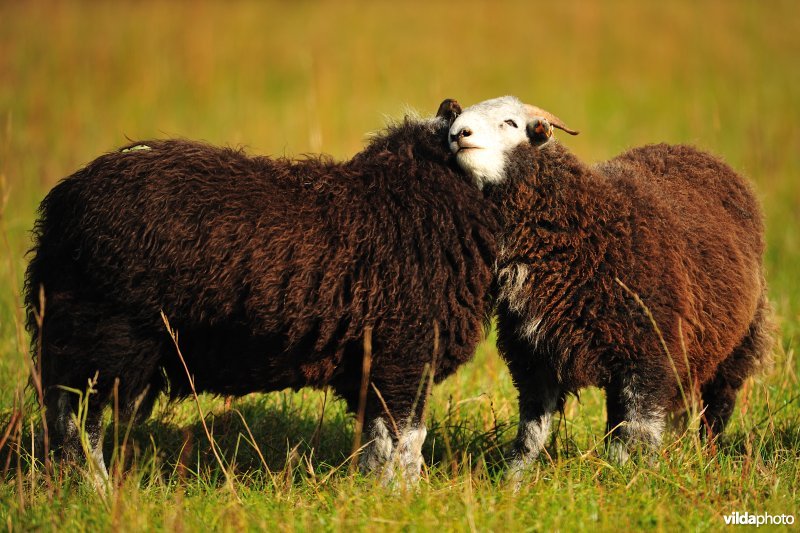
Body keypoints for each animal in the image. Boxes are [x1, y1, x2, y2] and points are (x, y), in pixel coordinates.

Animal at [26, 97, 500, 484]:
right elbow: (404, 441)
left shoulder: (374, 367)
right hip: (101, 338)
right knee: (77, 423)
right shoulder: (404, 356)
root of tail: (61, 207)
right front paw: (401, 498)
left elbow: (376, 443)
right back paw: (96, 491)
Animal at [446, 95, 772, 474]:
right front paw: (514, 479)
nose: (458, 134)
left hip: (738, 342)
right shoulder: (534, 358)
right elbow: (531, 434)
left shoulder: (653, 352)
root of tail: (695, 151)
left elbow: (644, 431)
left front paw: (642, 479)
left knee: (716, 408)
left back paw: (709, 456)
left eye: (511, 123)